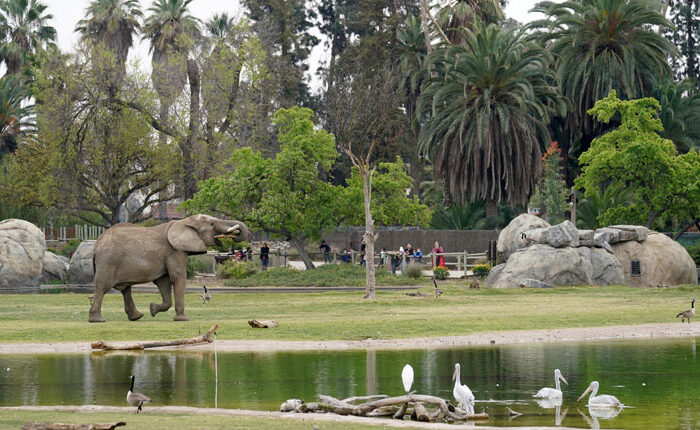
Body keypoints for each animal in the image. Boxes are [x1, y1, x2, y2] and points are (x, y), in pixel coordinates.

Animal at [89, 214, 249, 322]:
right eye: (211, 223)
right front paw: (183, 319)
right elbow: (178, 276)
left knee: (125, 289)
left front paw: (152, 309)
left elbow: (164, 282)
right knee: (103, 287)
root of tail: (97, 245)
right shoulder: (175, 251)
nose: (236, 235)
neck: (184, 222)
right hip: (108, 261)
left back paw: (137, 316)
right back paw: (97, 320)